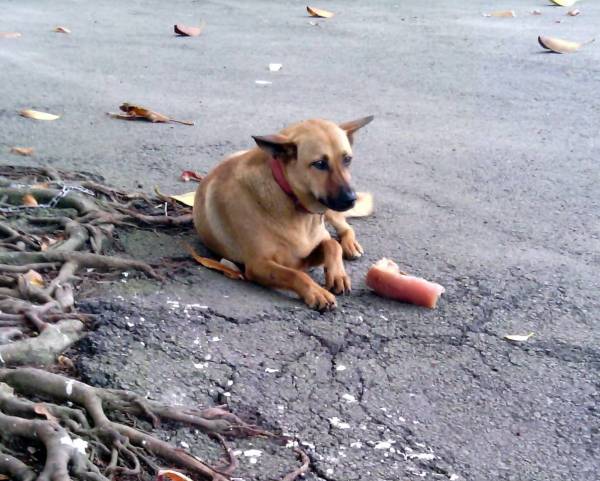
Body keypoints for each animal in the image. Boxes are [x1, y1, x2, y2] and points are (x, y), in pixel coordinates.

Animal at [193, 116, 374, 310]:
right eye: (319, 164)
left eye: (347, 159)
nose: (351, 199)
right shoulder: (259, 265)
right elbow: (296, 274)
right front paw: (316, 292)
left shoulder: (309, 250)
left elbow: (332, 245)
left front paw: (338, 275)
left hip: (330, 213)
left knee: (345, 229)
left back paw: (350, 245)